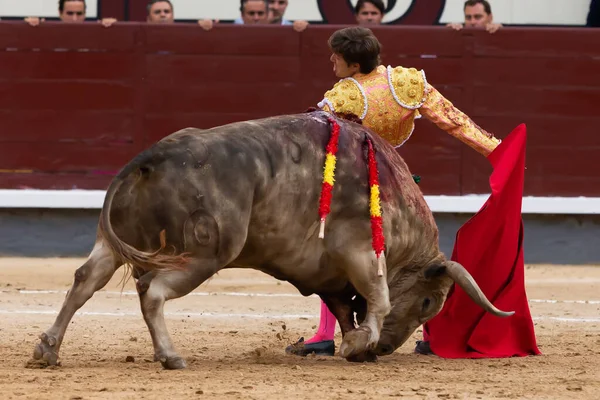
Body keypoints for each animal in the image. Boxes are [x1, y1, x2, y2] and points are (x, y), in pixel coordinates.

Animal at [30, 111, 512, 368]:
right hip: (204, 255)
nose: (388, 348)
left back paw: (47, 349)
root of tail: (151, 158)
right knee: (152, 291)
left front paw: (355, 345)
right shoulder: (360, 251)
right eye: (430, 302)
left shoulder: (330, 274)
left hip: (114, 244)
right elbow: (378, 298)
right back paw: (170, 356)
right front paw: (362, 342)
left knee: (84, 280)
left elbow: (345, 308)